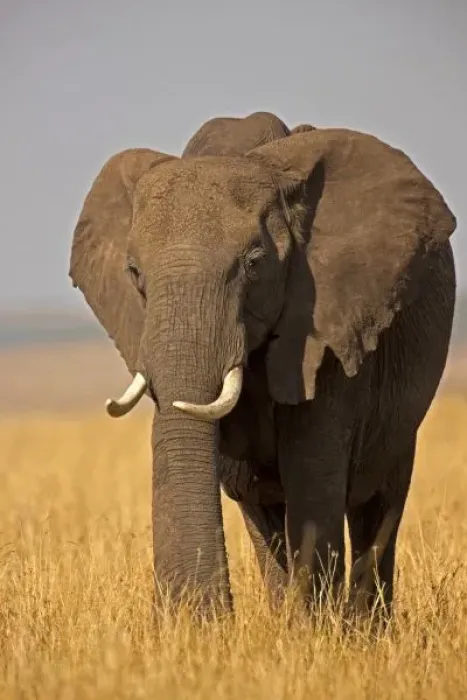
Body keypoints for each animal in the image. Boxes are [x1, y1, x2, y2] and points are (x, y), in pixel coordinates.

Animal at [69, 111, 456, 619]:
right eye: (134, 272)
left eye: (254, 263)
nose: (197, 621)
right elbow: (249, 487)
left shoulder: (327, 321)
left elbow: (312, 476)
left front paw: (315, 631)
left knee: (378, 502)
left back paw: (363, 627)